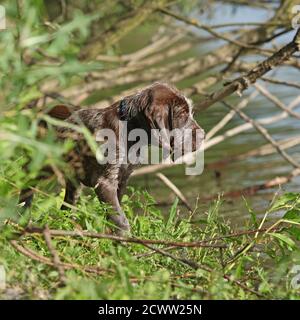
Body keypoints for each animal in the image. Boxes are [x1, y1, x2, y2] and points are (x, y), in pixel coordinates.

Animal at [19, 81, 205, 234]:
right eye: (182, 114)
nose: (203, 135)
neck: (130, 129)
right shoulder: (105, 181)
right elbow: (120, 218)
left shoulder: (122, 179)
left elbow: (115, 211)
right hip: (40, 165)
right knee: (26, 187)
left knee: (67, 204)